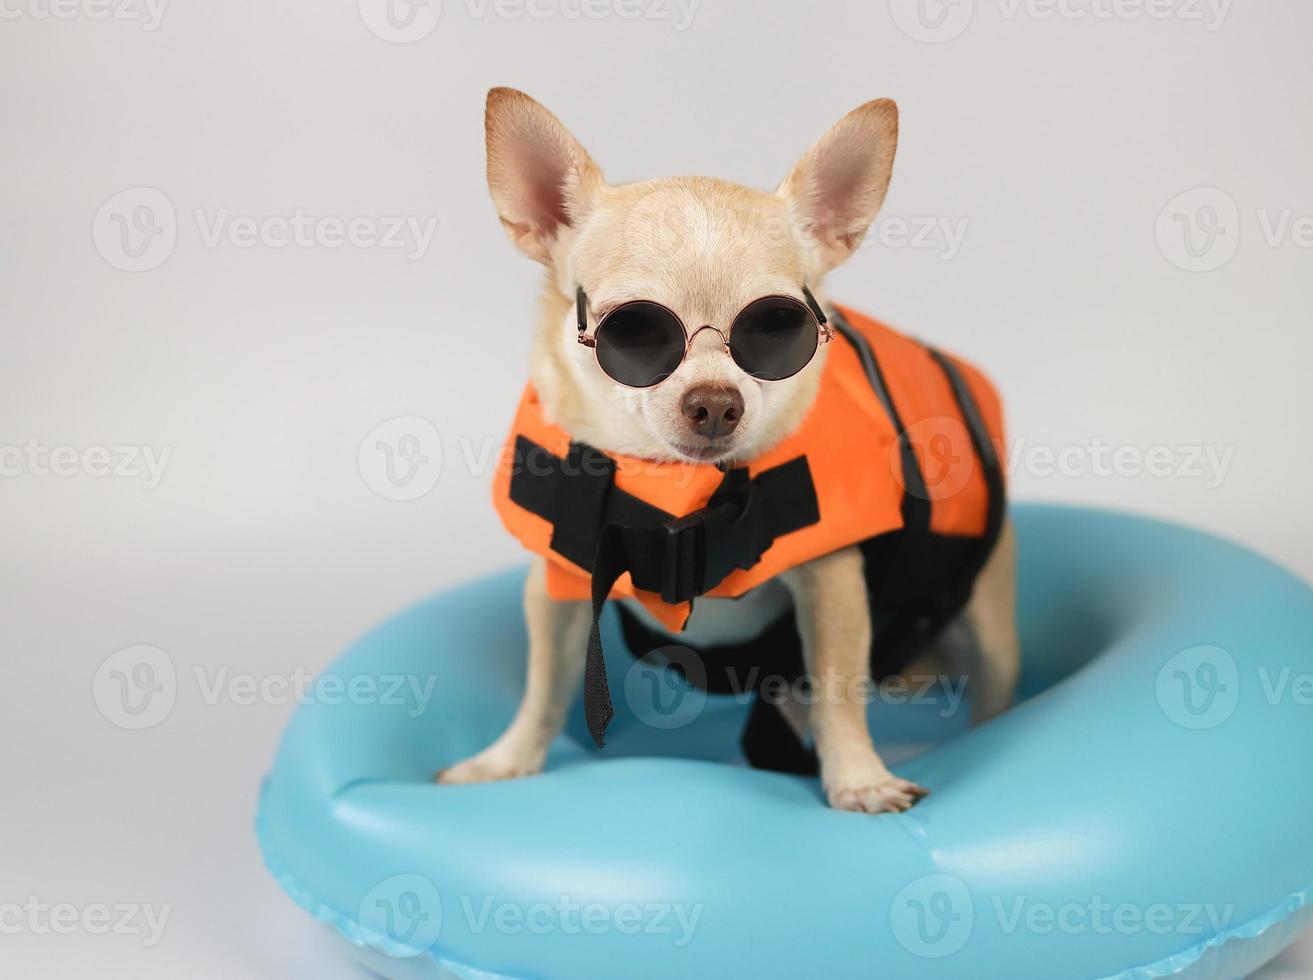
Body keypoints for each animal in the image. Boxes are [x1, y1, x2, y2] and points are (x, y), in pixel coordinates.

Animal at [435, 89, 1018, 809]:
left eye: (779, 327)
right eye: (632, 331)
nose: (715, 401)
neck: (680, 490)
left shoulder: (831, 583)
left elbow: (838, 692)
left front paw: (860, 779)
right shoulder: (555, 588)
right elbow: (543, 688)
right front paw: (505, 761)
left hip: (991, 628)